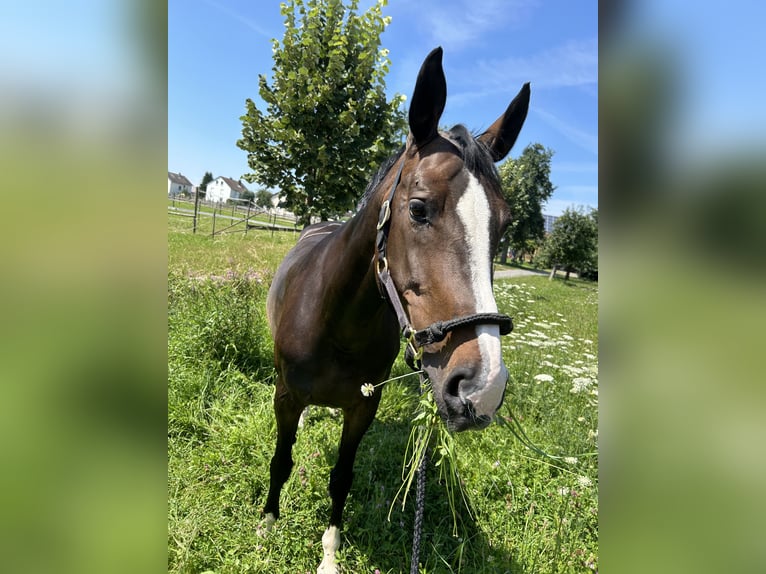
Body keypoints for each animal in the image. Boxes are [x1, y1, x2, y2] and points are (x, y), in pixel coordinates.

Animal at [262, 47, 528, 572]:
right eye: (419, 208)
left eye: (504, 226)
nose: (482, 387)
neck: (336, 324)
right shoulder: (287, 396)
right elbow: (281, 458)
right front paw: (267, 522)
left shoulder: (363, 408)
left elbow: (342, 477)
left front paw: (329, 553)